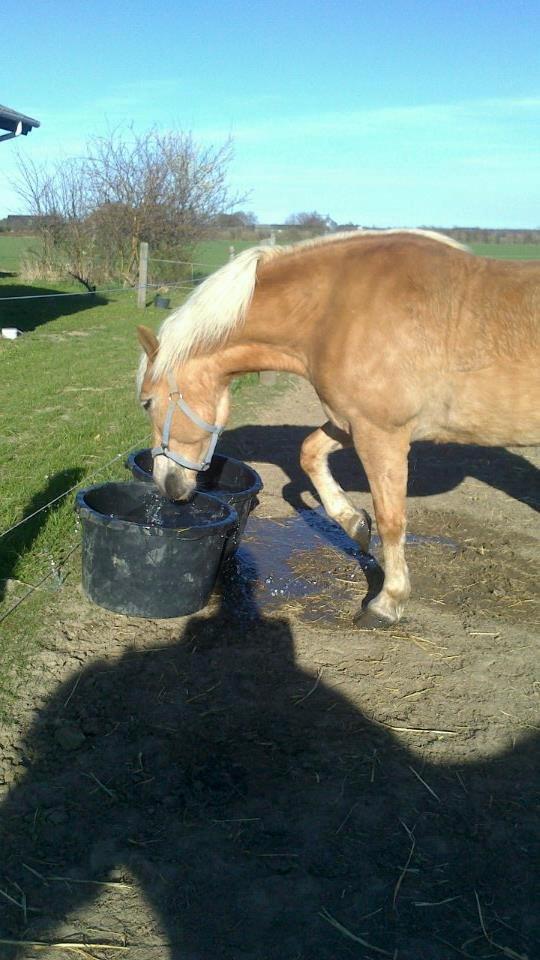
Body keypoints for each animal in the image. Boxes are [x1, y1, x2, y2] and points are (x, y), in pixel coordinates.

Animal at [136, 231, 540, 624]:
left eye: (147, 402)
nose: (167, 484)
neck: (334, 310)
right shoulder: (350, 423)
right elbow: (309, 454)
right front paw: (355, 524)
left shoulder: (382, 433)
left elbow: (392, 519)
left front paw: (387, 602)